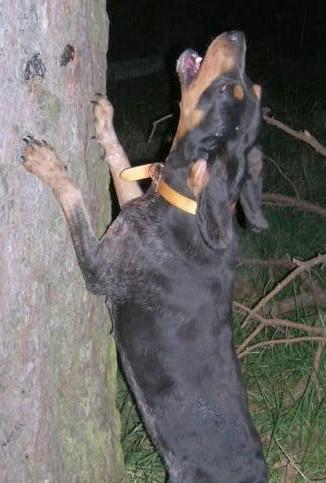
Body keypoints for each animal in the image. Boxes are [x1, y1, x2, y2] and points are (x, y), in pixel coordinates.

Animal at [22, 31, 268, 483]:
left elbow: (76, 200)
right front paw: (104, 122)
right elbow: (122, 167)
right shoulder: (135, 204)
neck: (190, 204)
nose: (237, 35)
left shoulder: (101, 266)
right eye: (249, 88)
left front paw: (51, 166)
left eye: (229, 89)